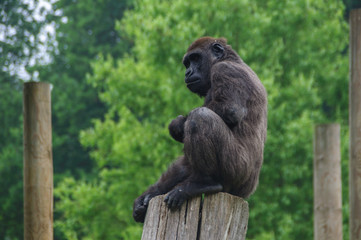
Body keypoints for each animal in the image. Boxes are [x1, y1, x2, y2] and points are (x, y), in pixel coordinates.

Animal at [133, 36, 268, 223]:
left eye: (196, 58)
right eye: (187, 63)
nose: (188, 72)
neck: (229, 58)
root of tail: (246, 192)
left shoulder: (224, 70)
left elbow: (230, 109)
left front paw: (177, 124)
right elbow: (185, 165)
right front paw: (150, 194)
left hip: (238, 175)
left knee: (200, 118)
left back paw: (204, 183)